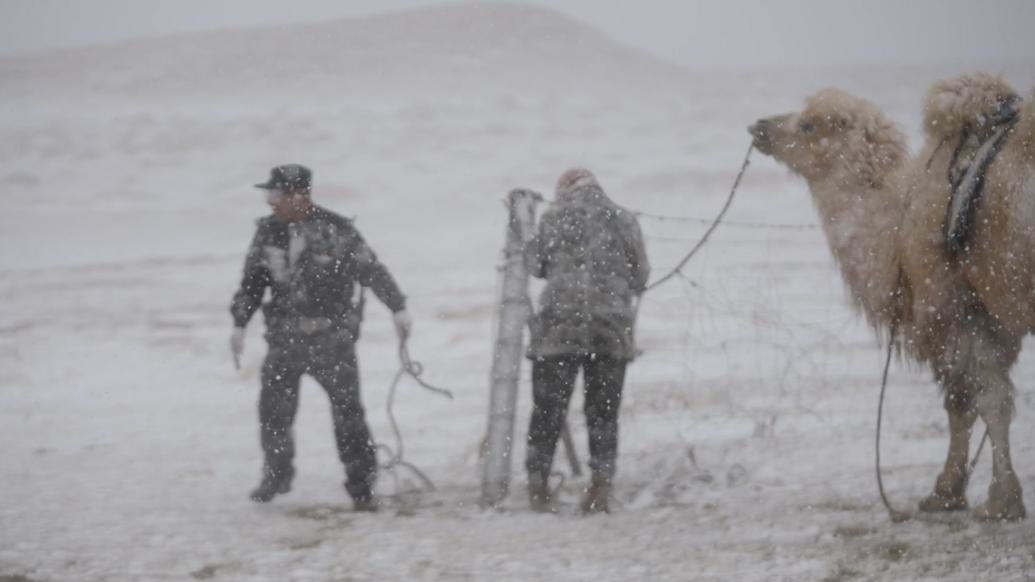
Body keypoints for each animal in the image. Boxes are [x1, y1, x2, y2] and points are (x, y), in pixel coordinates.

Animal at [749, 73, 1030, 521]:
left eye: (808, 125)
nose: (759, 126)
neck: (896, 229)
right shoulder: (994, 317)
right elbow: (975, 400)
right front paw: (957, 493)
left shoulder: (954, 310)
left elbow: (978, 400)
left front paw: (989, 499)